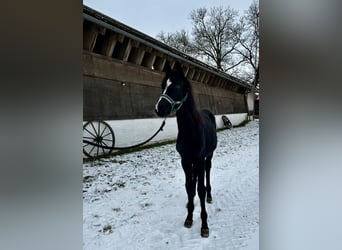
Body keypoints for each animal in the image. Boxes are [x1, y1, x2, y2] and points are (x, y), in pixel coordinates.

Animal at [155, 61, 216, 237]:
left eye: (178, 85)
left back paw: (209, 196)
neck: (190, 131)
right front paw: (189, 217)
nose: (160, 108)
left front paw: (204, 225)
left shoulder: (200, 160)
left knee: (207, 174)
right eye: (163, 85)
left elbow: (201, 189)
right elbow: (189, 187)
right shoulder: (185, 161)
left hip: (208, 157)